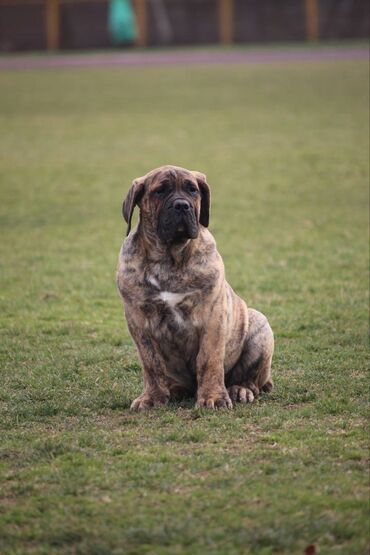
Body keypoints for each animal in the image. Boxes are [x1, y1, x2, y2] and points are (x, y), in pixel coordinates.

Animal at [117, 163, 274, 410]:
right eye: (159, 191)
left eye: (193, 190)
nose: (182, 205)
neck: (169, 258)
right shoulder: (138, 320)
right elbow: (151, 362)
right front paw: (151, 397)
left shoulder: (212, 316)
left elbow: (209, 359)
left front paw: (213, 397)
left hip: (259, 324)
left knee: (251, 379)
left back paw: (239, 390)